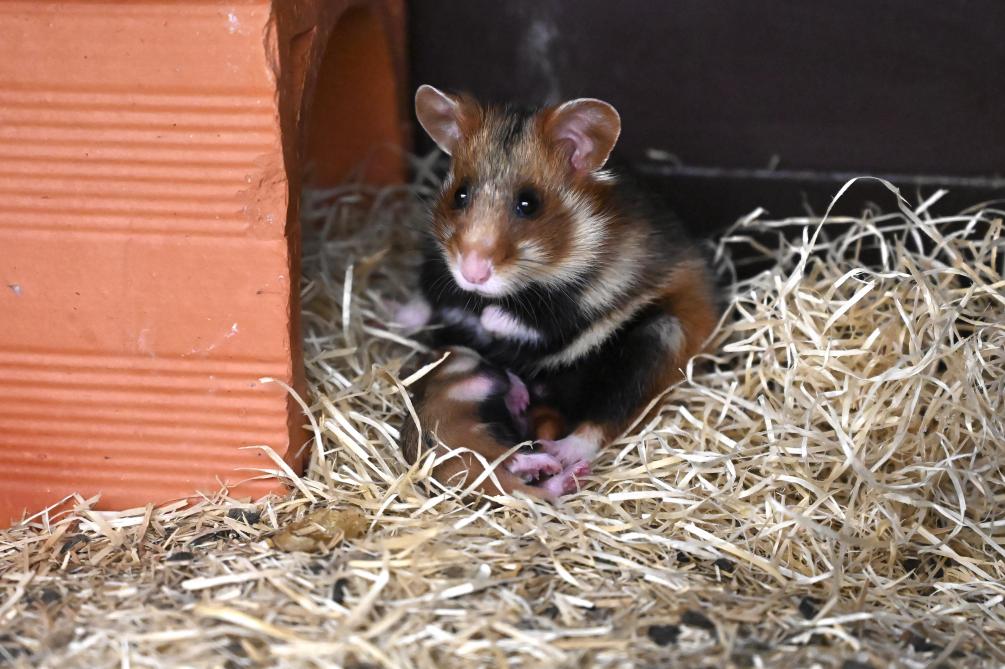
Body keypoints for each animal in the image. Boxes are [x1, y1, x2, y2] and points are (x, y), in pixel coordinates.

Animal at [398, 85, 719, 480]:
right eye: (460, 194)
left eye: (528, 203)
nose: (472, 275)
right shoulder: (437, 268)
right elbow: (428, 295)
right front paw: (398, 315)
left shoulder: (587, 299)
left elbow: (544, 324)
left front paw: (487, 318)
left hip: (659, 340)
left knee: (609, 413)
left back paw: (562, 454)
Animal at [399, 348, 590, 501]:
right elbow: (503, 379)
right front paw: (520, 393)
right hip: (481, 440)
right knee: (513, 461)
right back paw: (551, 464)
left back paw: (576, 473)